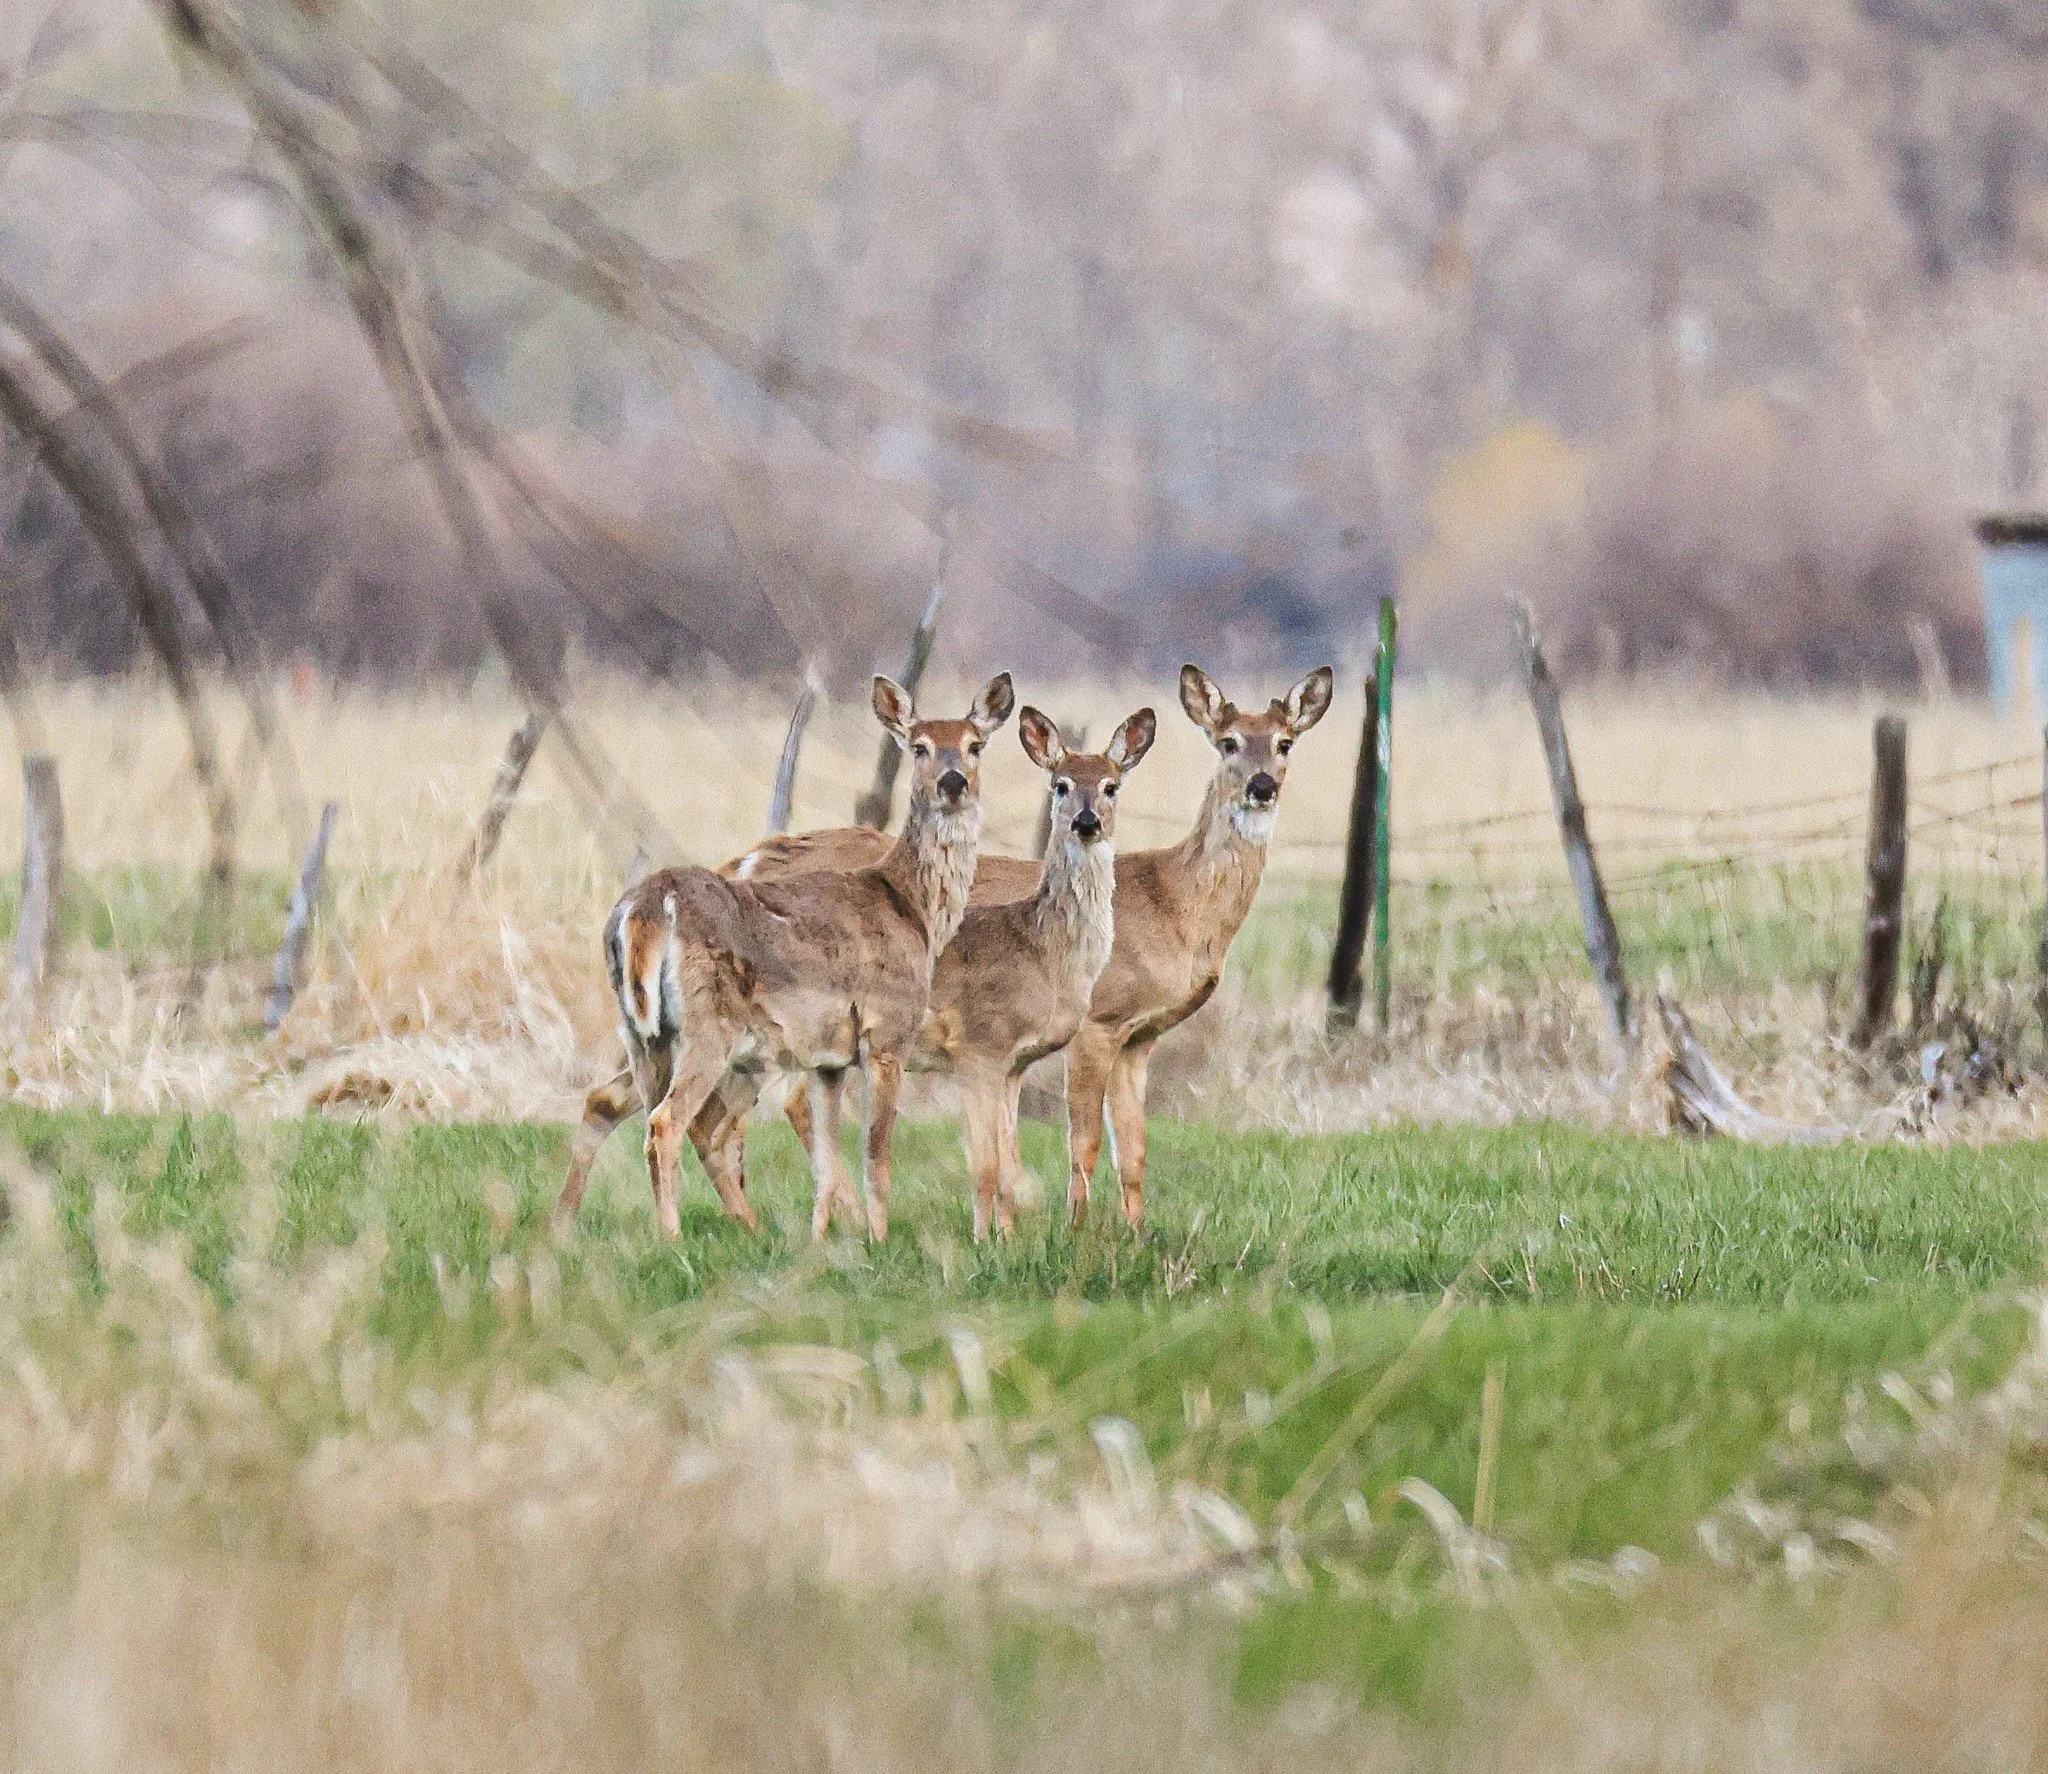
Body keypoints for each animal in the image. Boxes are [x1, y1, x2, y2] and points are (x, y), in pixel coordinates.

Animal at [552, 672, 1014, 1243]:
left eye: (976, 744)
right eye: (919, 745)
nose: (953, 783)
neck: (912, 907)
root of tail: (644, 908)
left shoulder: (828, 1057)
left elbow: (829, 1153)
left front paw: (831, 1236)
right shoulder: (887, 1031)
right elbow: (878, 1151)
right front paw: (879, 1238)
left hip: (642, 1031)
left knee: (636, 1108)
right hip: (707, 1027)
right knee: (668, 1122)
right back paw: (673, 1238)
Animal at [719, 663, 1334, 1231]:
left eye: (1285, 742)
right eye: (1228, 742)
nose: (1261, 786)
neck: (1176, 902)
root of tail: (748, 860)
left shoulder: (1142, 1036)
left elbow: (1134, 1151)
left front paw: (1136, 1237)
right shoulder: (1100, 1020)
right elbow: (1083, 1141)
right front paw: (1076, 1233)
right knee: (790, 1100)